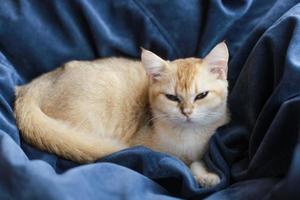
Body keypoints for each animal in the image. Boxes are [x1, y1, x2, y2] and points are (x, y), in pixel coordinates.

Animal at [14, 41, 230, 188]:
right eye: (172, 97)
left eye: (201, 96)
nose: (187, 112)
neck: (187, 138)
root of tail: (32, 86)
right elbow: (182, 164)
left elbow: (197, 161)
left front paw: (206, 176)